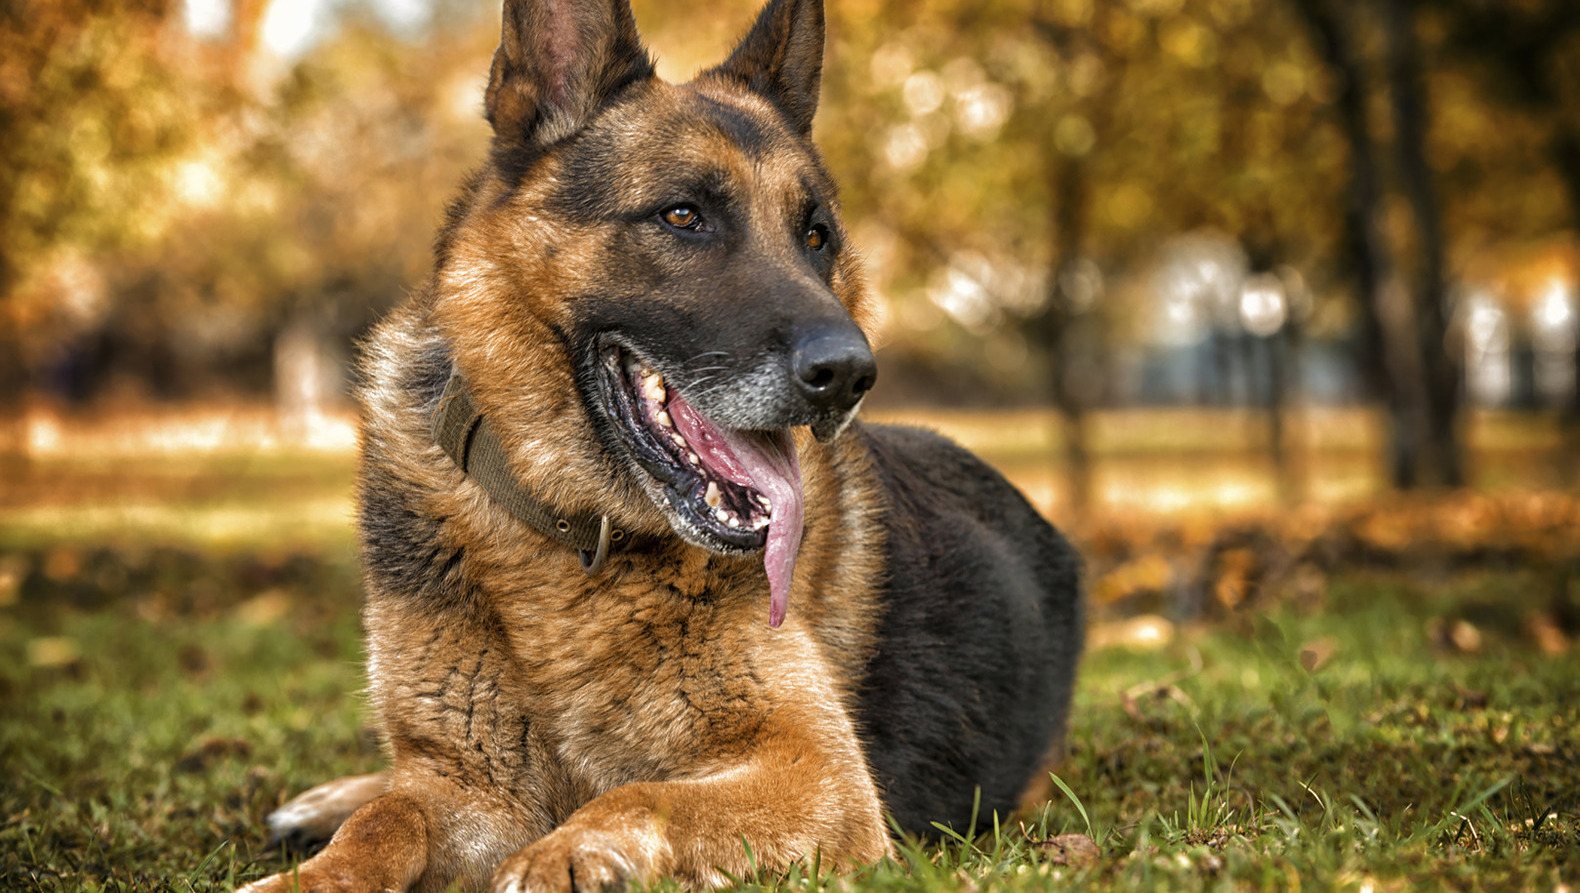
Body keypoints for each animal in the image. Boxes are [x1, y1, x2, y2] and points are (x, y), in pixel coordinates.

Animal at [243, 0, 1087, 885]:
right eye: (683, 215)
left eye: (817, 236)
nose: (851, 374)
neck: (568, 539)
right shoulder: (467, 785)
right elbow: (389, 816)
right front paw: (315, 873)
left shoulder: (819, 771)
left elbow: (644, 793)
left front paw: (564, 852)